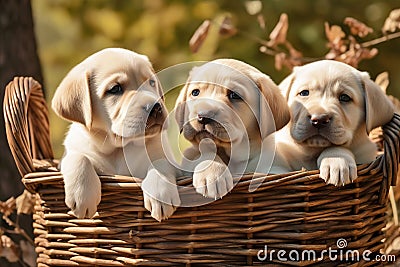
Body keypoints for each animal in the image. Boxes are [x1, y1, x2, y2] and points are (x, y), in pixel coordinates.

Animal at [52, 48, 180, 222]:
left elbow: (160, 162)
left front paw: (160, 193)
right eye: (115, 89)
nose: (156, 107)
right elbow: (78, 157)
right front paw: (82, 195)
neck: (118, 149)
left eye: (151, 83)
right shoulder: (70, 154)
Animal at [177, 59, 290, 200]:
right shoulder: (189, 156)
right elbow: (203, 153)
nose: (203, 116)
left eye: (234, 95)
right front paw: (213, 174)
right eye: (195, 92)